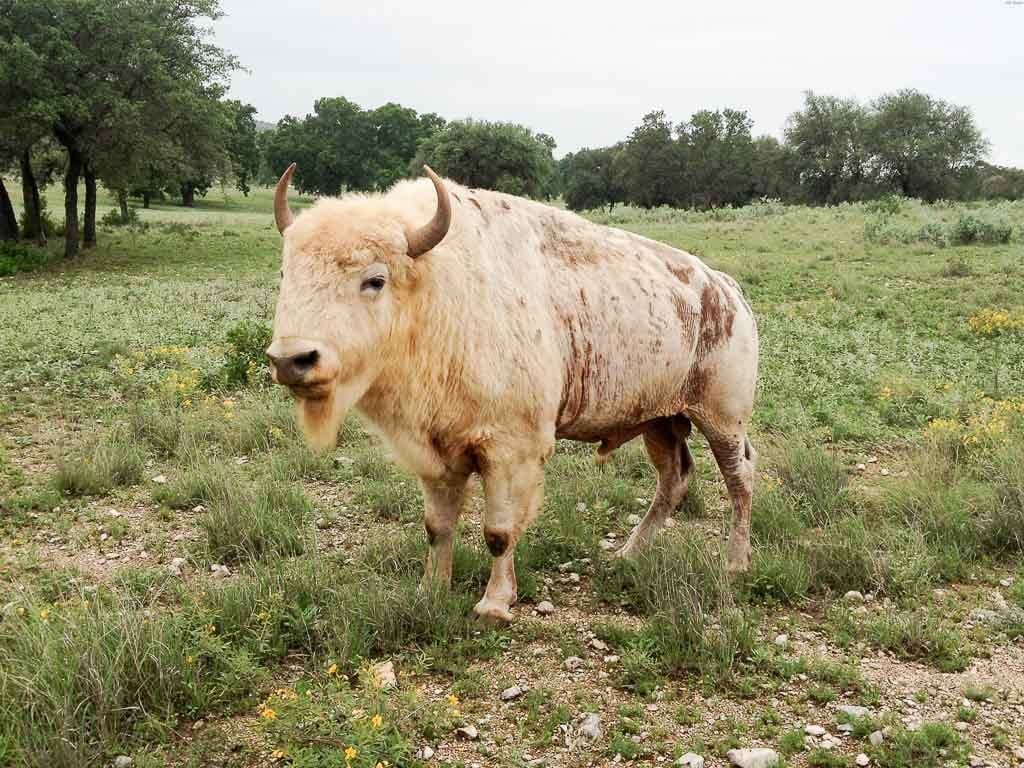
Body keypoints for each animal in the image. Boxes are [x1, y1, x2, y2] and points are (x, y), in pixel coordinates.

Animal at [266, 165, 761, 622]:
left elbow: (498, 531)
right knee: (674, 479)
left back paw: (735, 563)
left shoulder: (510, 452)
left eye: (374, 279)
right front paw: (431, 590)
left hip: (722, 419)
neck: (438, 289)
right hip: (659, 421)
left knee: (740, 479)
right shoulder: (436, 453)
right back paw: (627, 554)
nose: (293, 359)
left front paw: (494, 605)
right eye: (287, 272)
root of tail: (726, 289)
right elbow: (437, 526)